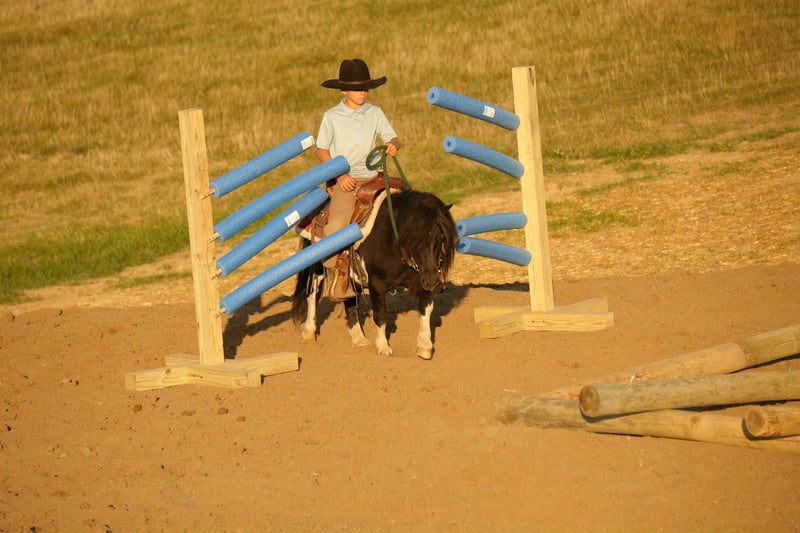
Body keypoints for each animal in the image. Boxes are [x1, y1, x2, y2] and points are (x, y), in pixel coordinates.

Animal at [291, 189, 457, 359]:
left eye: (441, 238)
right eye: (415, 238)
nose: (432, 280)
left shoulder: (419, 280)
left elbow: (426, 307)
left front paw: (425, 346)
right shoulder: (376, 284)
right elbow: (381, 315)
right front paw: (383, 347)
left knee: (349, 301)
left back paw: (359, 338)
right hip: (318, 266)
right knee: (313, 293)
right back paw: (309, 331)